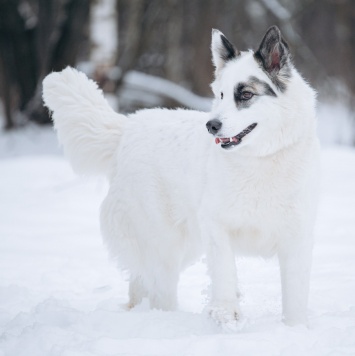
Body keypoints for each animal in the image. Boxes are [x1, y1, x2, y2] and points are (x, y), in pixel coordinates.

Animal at [43, 26, 322, 326]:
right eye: (220, 95)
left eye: (245, 95)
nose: (211, 125)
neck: (260, 160)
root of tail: (128, 127)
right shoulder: (216, 227)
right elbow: (225, 272)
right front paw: (226, 313)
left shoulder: (297, 237)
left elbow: (295, 296)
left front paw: (295, 327)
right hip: (164, 244)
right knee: (158, 291)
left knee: (139, 284)